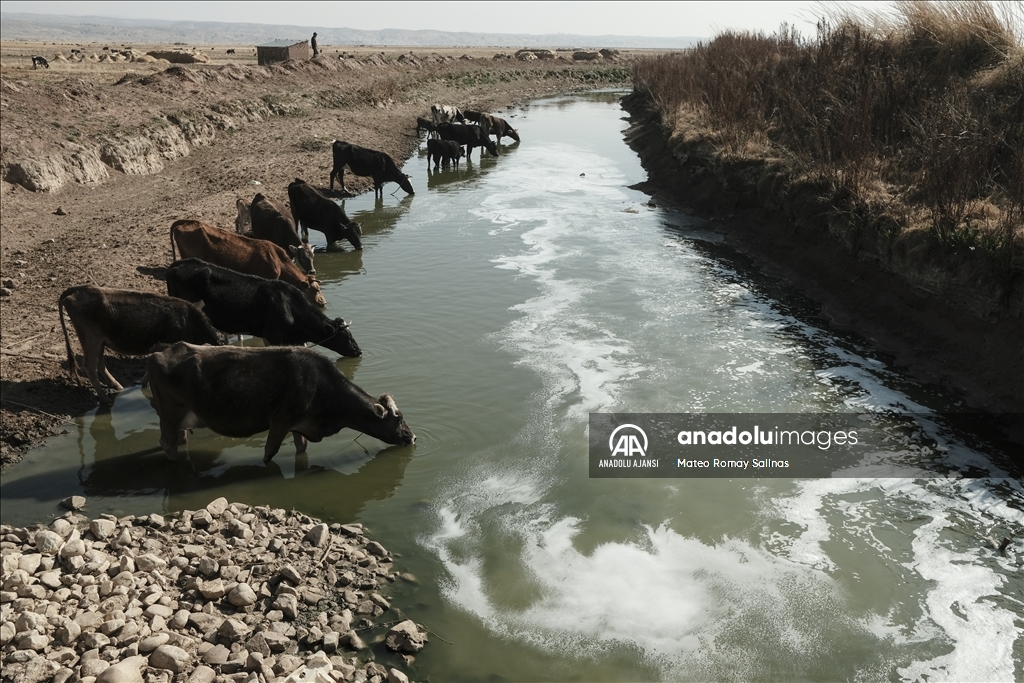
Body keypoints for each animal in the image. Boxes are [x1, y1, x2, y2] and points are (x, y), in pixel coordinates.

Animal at [145, 342, 415, 464]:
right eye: (399, 418)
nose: (411, 437)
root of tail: (161, 352)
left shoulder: (299, 425)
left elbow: (301, 449)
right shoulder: (280, 421)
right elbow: (269, 453)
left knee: (179, 440)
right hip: (170, 413)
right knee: (167, 443)